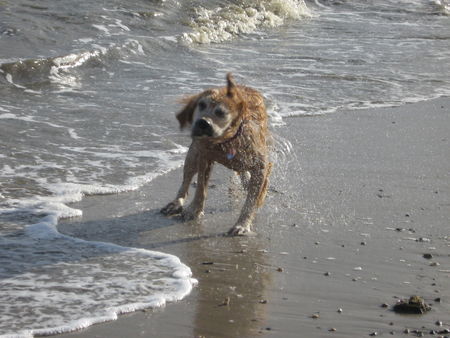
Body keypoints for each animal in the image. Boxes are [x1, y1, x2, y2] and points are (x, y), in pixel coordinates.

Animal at [163, 73, 272, 235]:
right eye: (201, 105)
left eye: (221, 112)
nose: (202, 122)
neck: (227, 140)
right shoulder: (204, 156)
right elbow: (201, 188)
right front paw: (194, 210)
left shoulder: (260, 166)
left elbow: (251, 200)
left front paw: (242, 224)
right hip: (193, 154)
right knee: (186, 180)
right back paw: (176, 203)